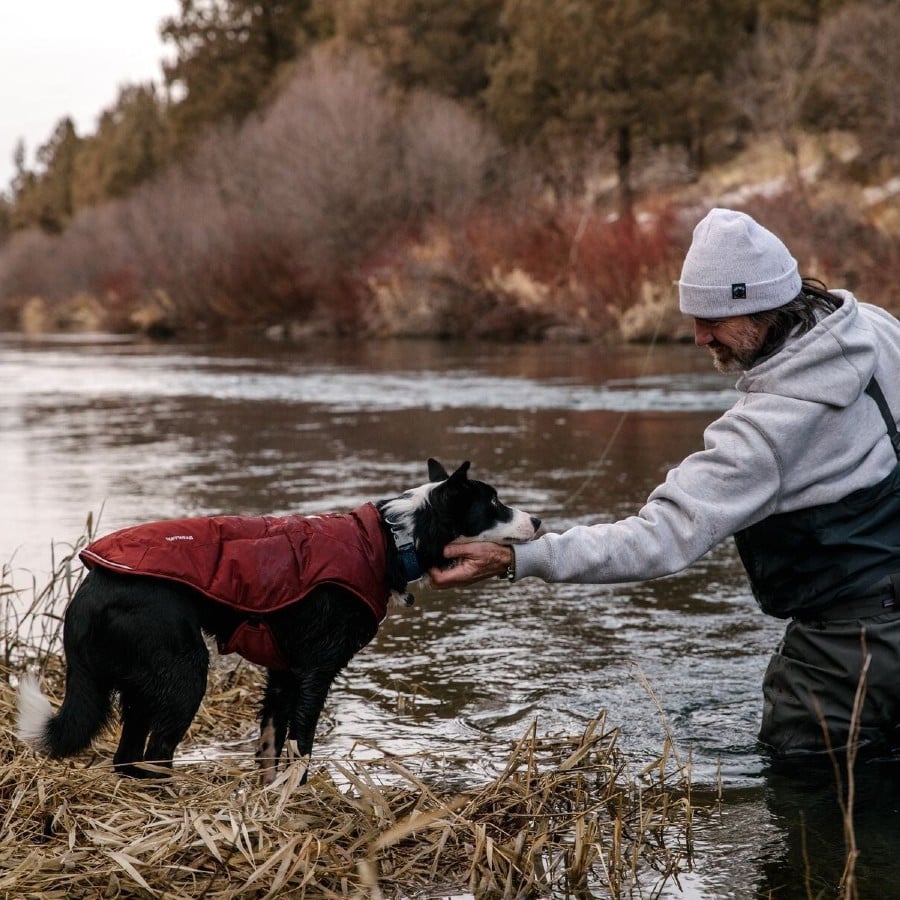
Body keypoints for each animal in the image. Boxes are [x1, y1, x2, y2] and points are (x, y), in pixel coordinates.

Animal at [17, 460, 536, 784]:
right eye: (493, 504)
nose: (538, 520)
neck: (391, 539)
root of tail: (88, 591)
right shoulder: (314, 673)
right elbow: (300, 747)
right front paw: (294, 796)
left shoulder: (282, 672)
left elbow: (270, 745)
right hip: (184, 674)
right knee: (155, 755)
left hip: (142, 685)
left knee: (128, 761)